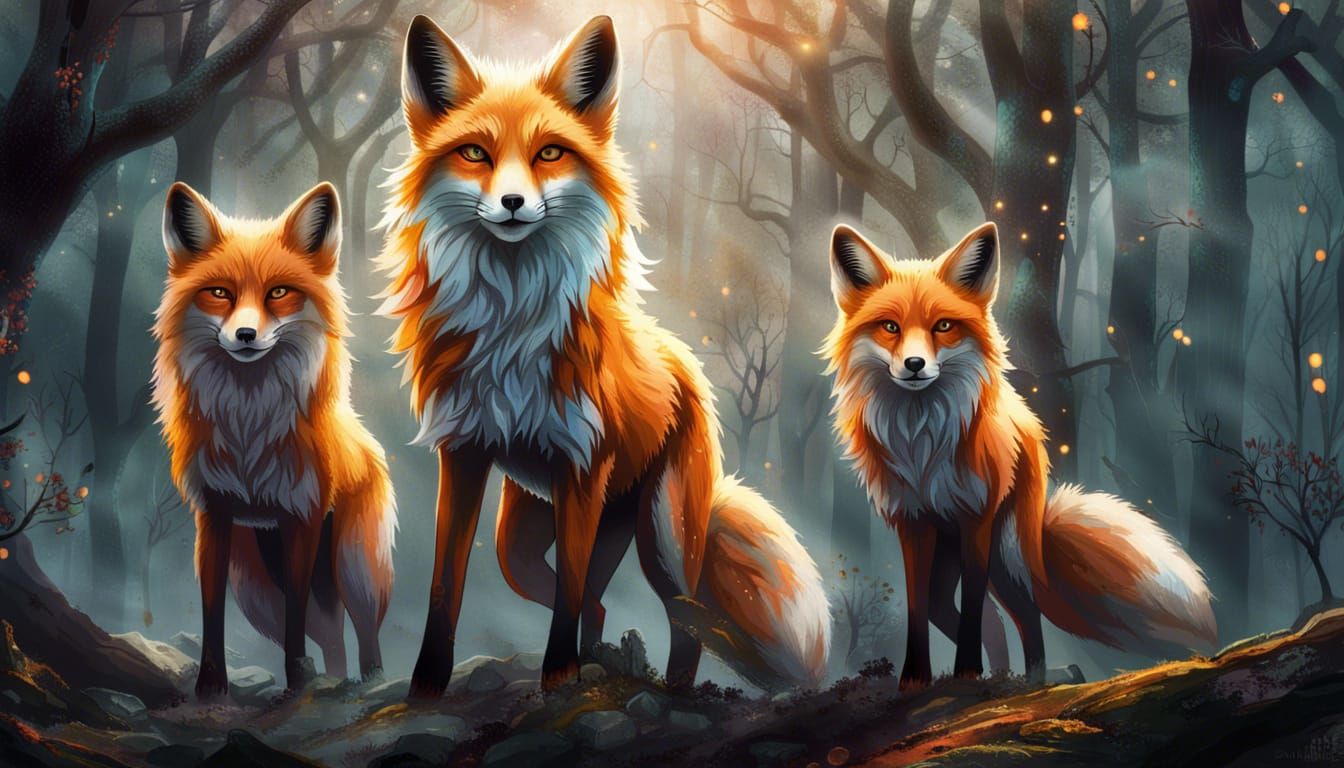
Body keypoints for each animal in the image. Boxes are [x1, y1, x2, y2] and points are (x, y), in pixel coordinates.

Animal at [151, 181, 396, 697]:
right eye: (219, 293)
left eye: (278, 292)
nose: (245, 334)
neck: (249, 425)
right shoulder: (214, 518)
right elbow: (211, 614)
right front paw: (210, 688)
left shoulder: (300, 516)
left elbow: (296, 624)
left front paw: (297, 684)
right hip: (257, 591)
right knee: (331, 639)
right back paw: (334, 679)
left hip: (353, 570)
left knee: (363, 633)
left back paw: (371, 682)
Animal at [377, 14, 830, 696]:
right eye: (476, 153)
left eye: (550, 153)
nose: (513, 203)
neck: (513, 322)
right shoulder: (464, 453)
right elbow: (445, 586)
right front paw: (426, 686)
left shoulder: (582, 468)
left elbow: (568, 594)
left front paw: (559, 678)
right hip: (524, 538)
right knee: (594, 598)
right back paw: (606, 657)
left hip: (663, 540)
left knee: (682, 621)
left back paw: (670, 691)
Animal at [822, 221, 1217, 688]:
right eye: (889, 327)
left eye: (943, 326)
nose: (915, 364)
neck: (923, 443)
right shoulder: (912, 522)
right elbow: (921, 608)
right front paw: (917, 681)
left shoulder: (976, 517)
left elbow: (974, 605)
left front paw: (967, 671)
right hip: (952, 556)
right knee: (967, 614)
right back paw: (1002, 676)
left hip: (1006, 556)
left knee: (1025, 614)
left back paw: (1034, 679)